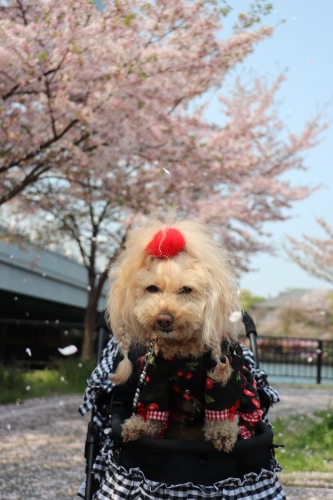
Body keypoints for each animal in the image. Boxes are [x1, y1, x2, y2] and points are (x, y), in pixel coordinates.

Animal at [105, 217, 260, 452]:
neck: (182, 347)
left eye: (187, 289)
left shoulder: (223, 375)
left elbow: (221, 409)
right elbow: (153, 405)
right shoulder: (154, 374)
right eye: (152, 288)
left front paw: (222, 434)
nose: (164, 318)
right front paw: (138, 426)